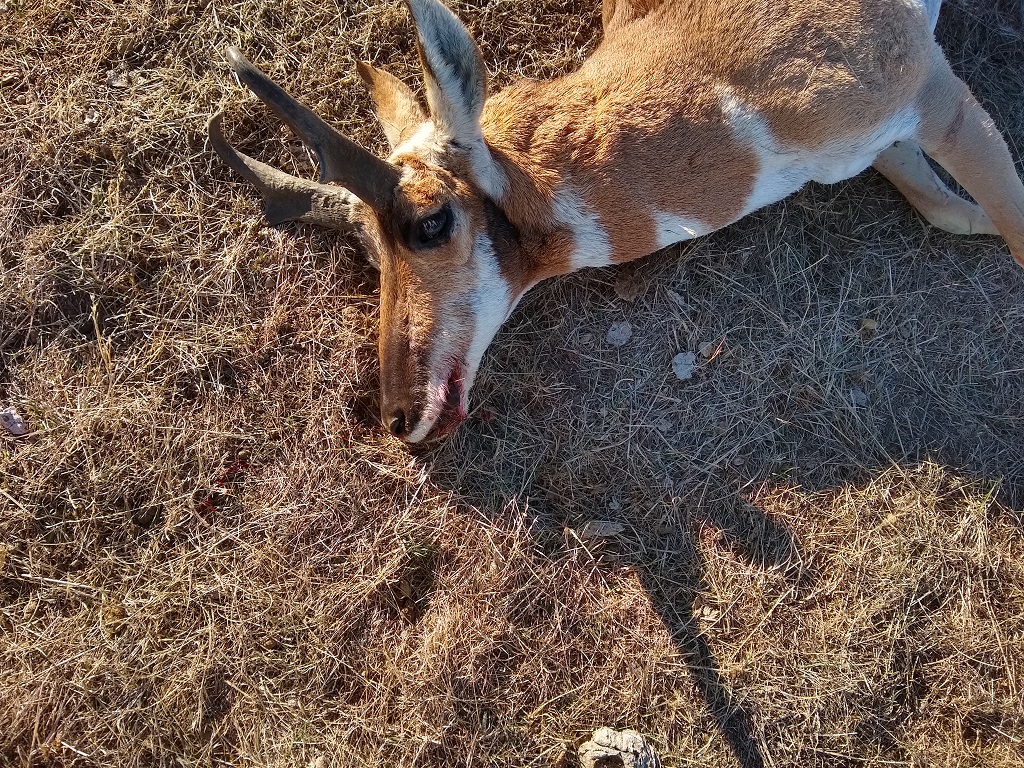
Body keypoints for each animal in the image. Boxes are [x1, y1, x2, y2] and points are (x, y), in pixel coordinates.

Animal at [210, 0, 1024, 443]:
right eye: (371, 251)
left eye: (430, 223)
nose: (395, 418)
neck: (720, 73)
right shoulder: (890, 138)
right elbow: (951, 211)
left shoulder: (936, 93)